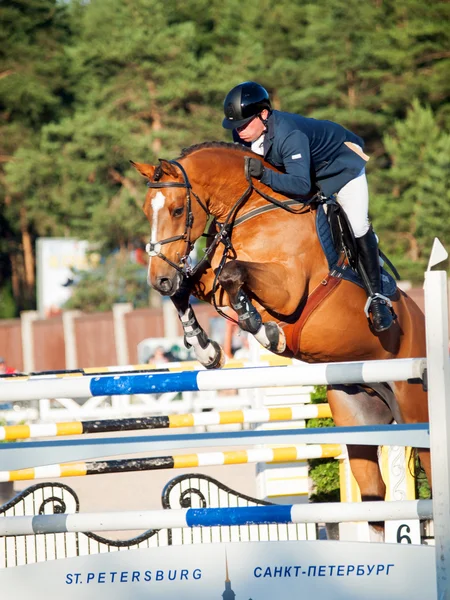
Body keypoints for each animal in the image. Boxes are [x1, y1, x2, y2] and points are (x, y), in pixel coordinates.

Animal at [129, 143, 428, 540]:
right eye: (147, 210)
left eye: (178, 210)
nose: (158, 279)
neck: (251, 210)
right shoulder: (207, 280)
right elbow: (191, 287)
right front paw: (205, 349)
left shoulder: (287, 290)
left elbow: (233, 272)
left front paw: (262, 329)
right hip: (359, 415)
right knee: (374, 498)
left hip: (415, 406)